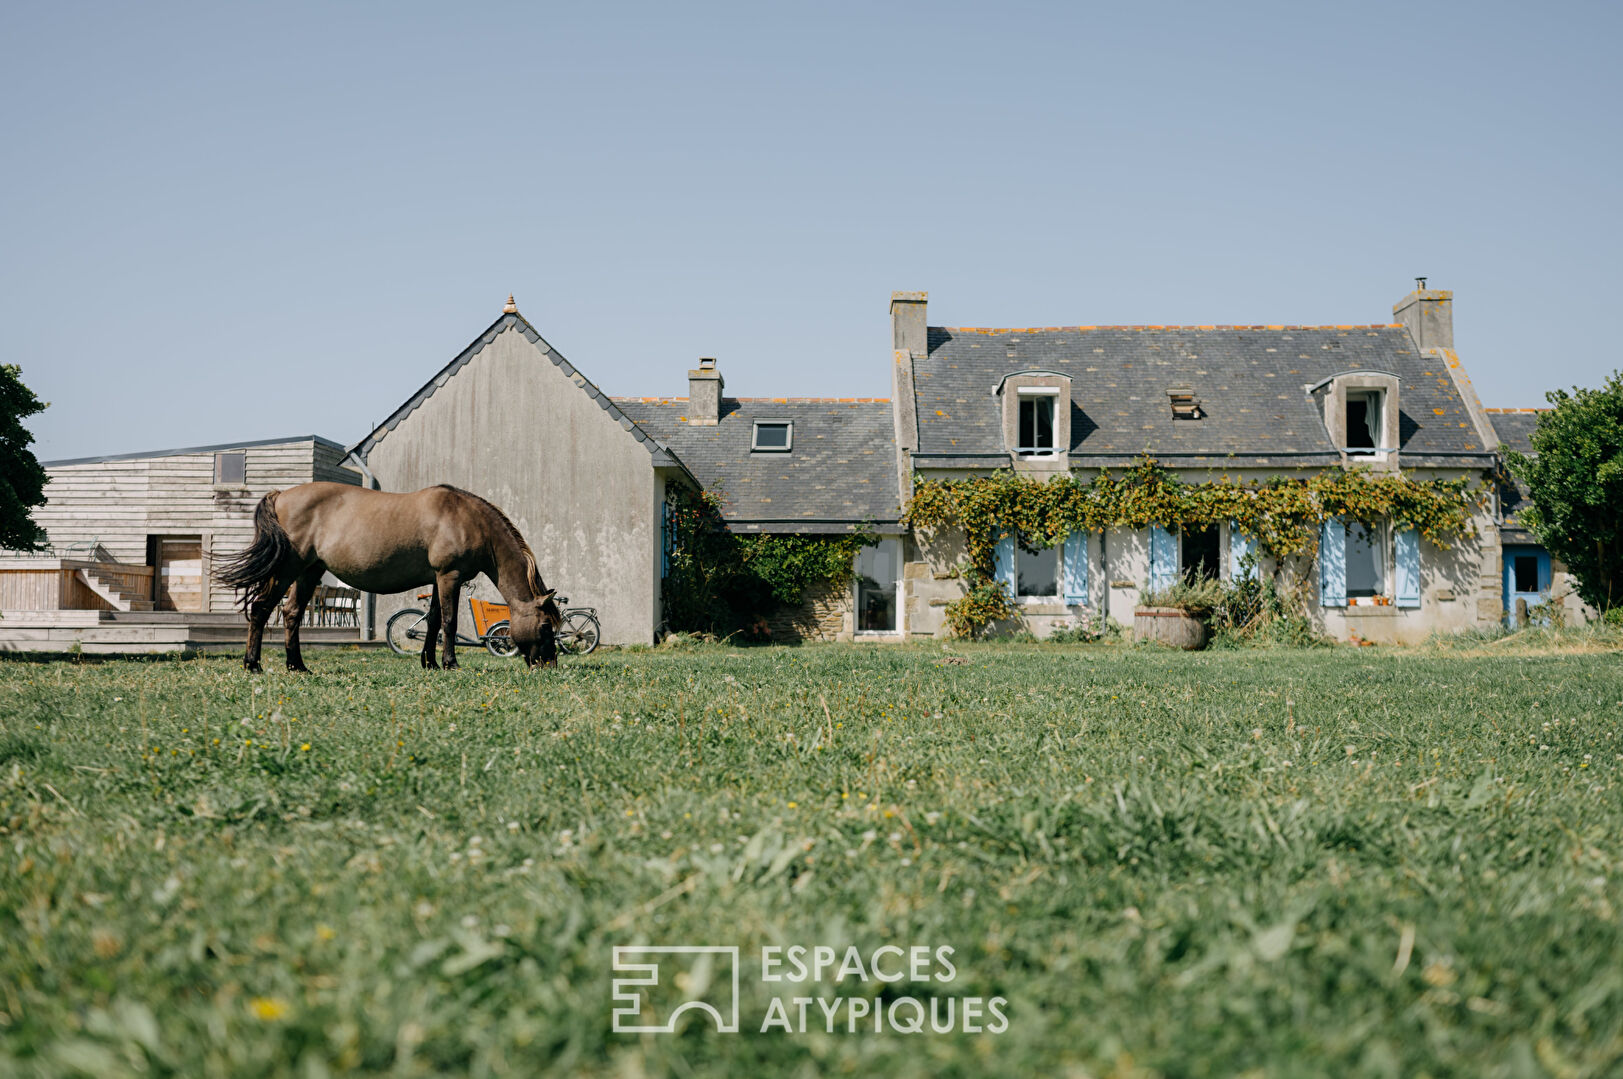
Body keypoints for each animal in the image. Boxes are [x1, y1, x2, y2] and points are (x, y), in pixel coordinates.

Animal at [217, 480, 564, 668]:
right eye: (545, 626)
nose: (548, 664)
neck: (467, 519)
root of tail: (281, 495)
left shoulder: (437, 579)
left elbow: (433, 620)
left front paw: (430, 663)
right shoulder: (449, 576)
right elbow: (449, 621)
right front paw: (450, 663)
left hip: (309, 572)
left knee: (291, 613)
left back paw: (297, 665)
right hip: (288, 568)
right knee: (262, 609)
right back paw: (253, 664)